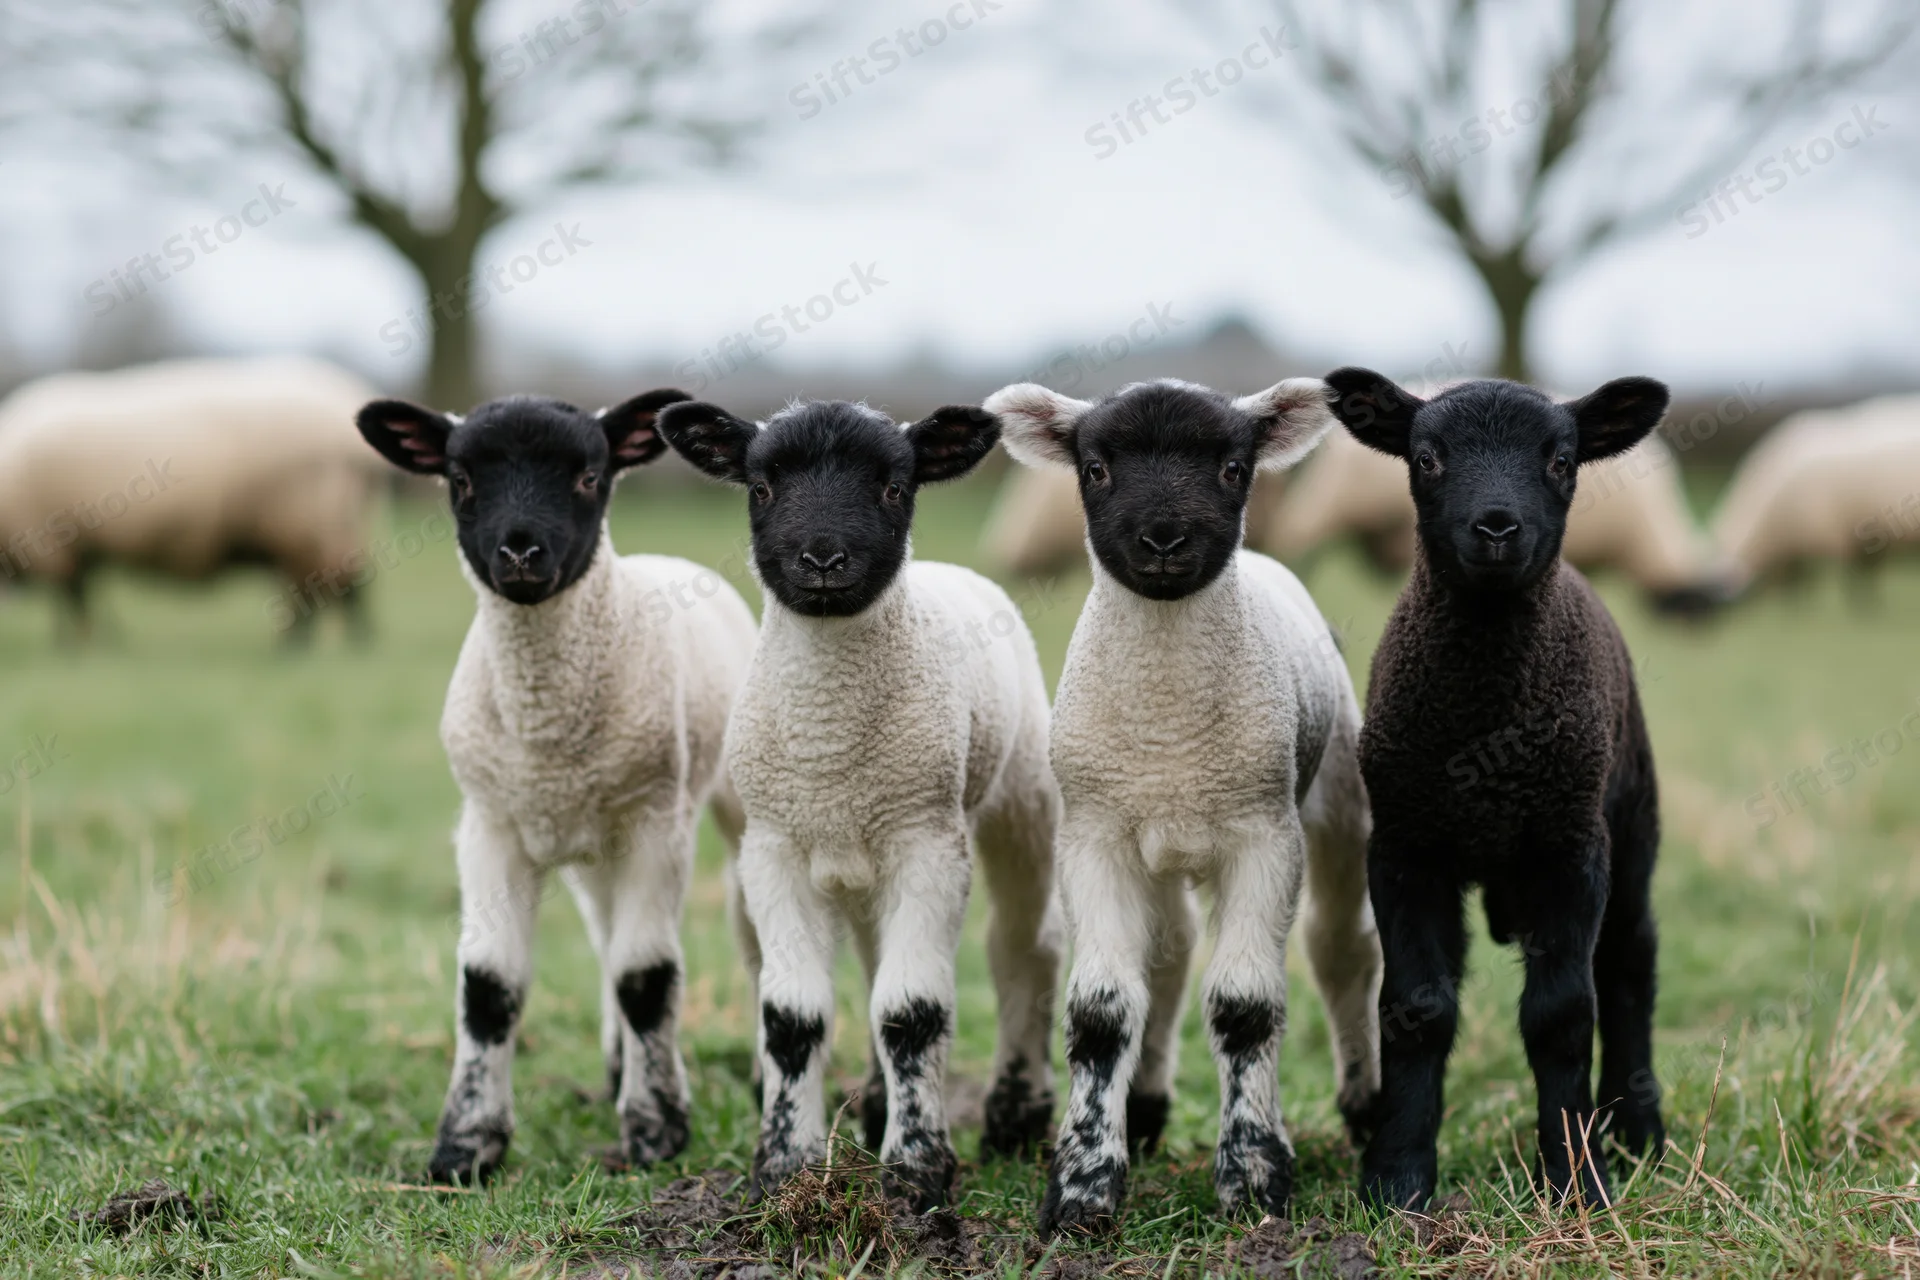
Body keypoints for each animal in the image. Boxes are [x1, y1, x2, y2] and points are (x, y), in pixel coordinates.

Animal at [0, 356, 387, 642]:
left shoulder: (50, 544)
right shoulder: (71, 548)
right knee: (327, 586)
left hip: (306, 521)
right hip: (319, 523)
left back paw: (325, 649)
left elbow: (71, 599)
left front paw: (74, 646)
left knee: (332, 586)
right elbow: (78, 598)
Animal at [353, 389, 758, 1183]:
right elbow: (490, 983)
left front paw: (656, 1130)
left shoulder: (654, 824)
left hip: (724, 805)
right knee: (605, 936)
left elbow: (647, 976)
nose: (519, 552)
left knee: (746, 939)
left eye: (588, 476)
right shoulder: (490, 825)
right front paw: (465, 1146)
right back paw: (615, 1066)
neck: (549, 731)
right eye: (460, 479)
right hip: (591, 847)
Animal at [656, 396, 1063, 1212]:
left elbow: (911, 1013)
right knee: (881, 964)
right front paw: (784, 1169)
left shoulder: (929, 845)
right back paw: (880, 1106)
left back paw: (1016, 1118)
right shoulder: (775, 850)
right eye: (761, 488)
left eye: (894, 488)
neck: (833, 751)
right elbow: (793, 1018)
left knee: (1024, 950)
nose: (821, 559)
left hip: (1020, 803)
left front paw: (916, 1175)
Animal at [985, 376, 1383, 1234]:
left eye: (1233, 468)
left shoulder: (1264, 837)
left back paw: (1367, 1105)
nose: (1165, 539)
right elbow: (1102, 1010)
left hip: (1337, 801)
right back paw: (1145, 1110)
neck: (1169, 730)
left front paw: (1255, 1180)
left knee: (1344, 949)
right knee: (1165, 958)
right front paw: (1083, 1190)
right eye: (1095, 468)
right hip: (1157, 844)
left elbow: (1245, 1006)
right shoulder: (1095, 836)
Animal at [1322, 368, 1670, 1211]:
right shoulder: (1404, 848)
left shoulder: (1570, 849)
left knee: (1629, 964)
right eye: (1425, 457)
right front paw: (1396, 1179)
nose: (1498, 528)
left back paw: (1636, 1128)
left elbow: (1562, 1016)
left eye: (1562, 460)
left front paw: (1578, 1183)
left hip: (1631, 824)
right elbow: (1416, 1009)